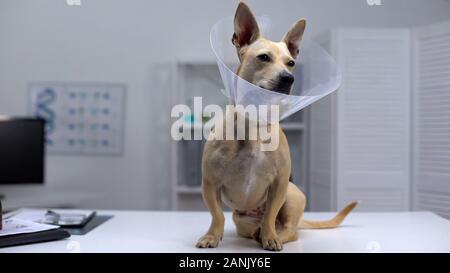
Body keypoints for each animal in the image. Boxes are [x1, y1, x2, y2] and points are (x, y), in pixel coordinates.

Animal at [195, 1, 356, 251]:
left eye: (291, 63)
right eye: (263, 57)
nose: (289, 77)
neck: (254, 124)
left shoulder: (279, 185)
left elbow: (271, 213)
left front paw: (270, 236)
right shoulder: (210, 184)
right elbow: (217, 215)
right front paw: (212, 236)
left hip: (291, 196)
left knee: (289, 230)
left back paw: (272, 234)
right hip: (241, 219)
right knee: (251, 226)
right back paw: (256, 233)